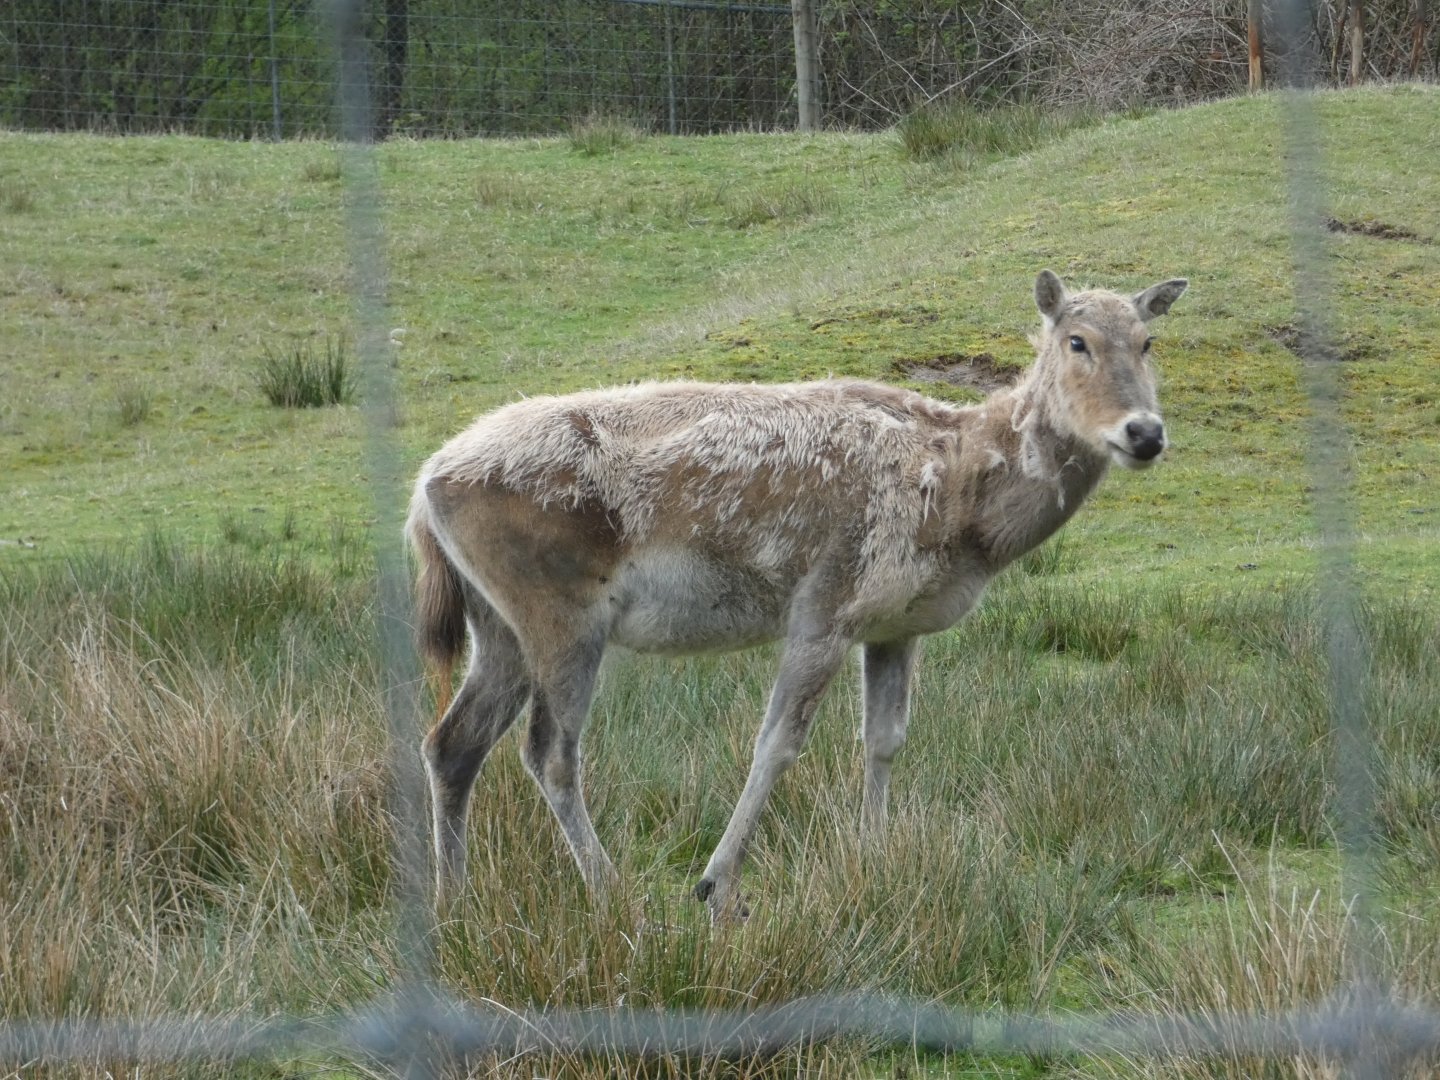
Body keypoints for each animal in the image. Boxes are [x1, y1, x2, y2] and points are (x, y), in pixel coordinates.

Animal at [406, 270, 1188, 921]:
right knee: (549, 752)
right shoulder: (826, 603)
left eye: (1149, 340)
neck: (960, 507)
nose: (1145, 432)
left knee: (451, 742)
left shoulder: (893, 622)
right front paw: (716, 888)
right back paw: (610, 890)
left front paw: (874, 860)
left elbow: (885, 739)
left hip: (496, 625)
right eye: (1077, 340)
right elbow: (776, 742)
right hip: (559, 613)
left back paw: (455, 898)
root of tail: (424, 489)